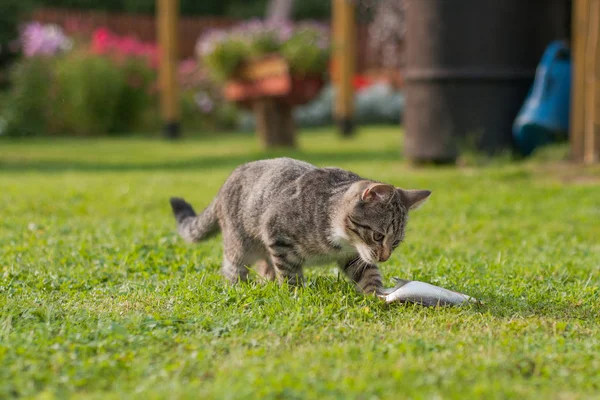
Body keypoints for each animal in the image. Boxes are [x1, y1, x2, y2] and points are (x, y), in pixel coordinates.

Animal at [170, 158, 432, 296]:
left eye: (395, 242)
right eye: (378, 236)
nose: (385, 257)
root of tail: (226, 182)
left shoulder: (352, 255)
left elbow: (367, 273)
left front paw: (375, 294)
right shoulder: (276, 232)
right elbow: (288, 271)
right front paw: (294, 294)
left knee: (265, 265)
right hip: (240, 242)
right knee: (233, 266)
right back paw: (239, 286)